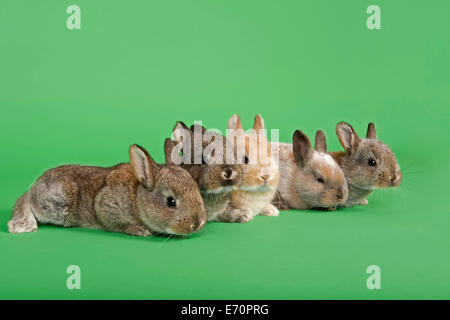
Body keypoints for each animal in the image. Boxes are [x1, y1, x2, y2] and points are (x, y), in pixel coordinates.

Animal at [7, 144, 207, 236]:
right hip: (57, 204)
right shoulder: (107, 207)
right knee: (27, 201)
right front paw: (140, 231)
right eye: (171, 202)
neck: (136, 198)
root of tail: (37, 184)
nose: (199, 223)